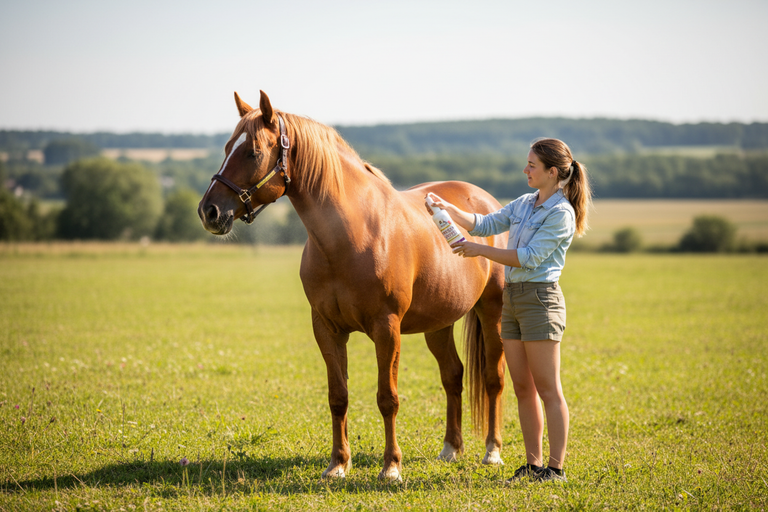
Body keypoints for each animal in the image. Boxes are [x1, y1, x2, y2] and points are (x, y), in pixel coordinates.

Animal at [198, 90, 508, 482]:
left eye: (252, 152)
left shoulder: (386, 328)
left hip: (492, 311)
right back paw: (451, 448)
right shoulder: (327, 329)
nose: (209, 211)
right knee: (453, 375)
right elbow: (338, 397)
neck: (353, 234)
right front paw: (337, 465)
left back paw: (492, 451)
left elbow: (387, 398)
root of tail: (484, 199)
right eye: (227, 148)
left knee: (493, 377)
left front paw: (391, 467)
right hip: (439, 322)